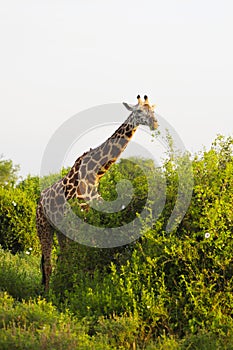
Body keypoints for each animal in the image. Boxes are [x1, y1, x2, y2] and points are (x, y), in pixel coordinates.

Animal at [36, 95, 159, 290]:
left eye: (153, 110)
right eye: (140, 110)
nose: (155, 123)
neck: (95, 174)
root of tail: (38, 204)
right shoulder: (83, 216)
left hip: (61, 231)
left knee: (62, 259)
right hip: (43, 228)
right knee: (48, 264)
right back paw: (48, 294)